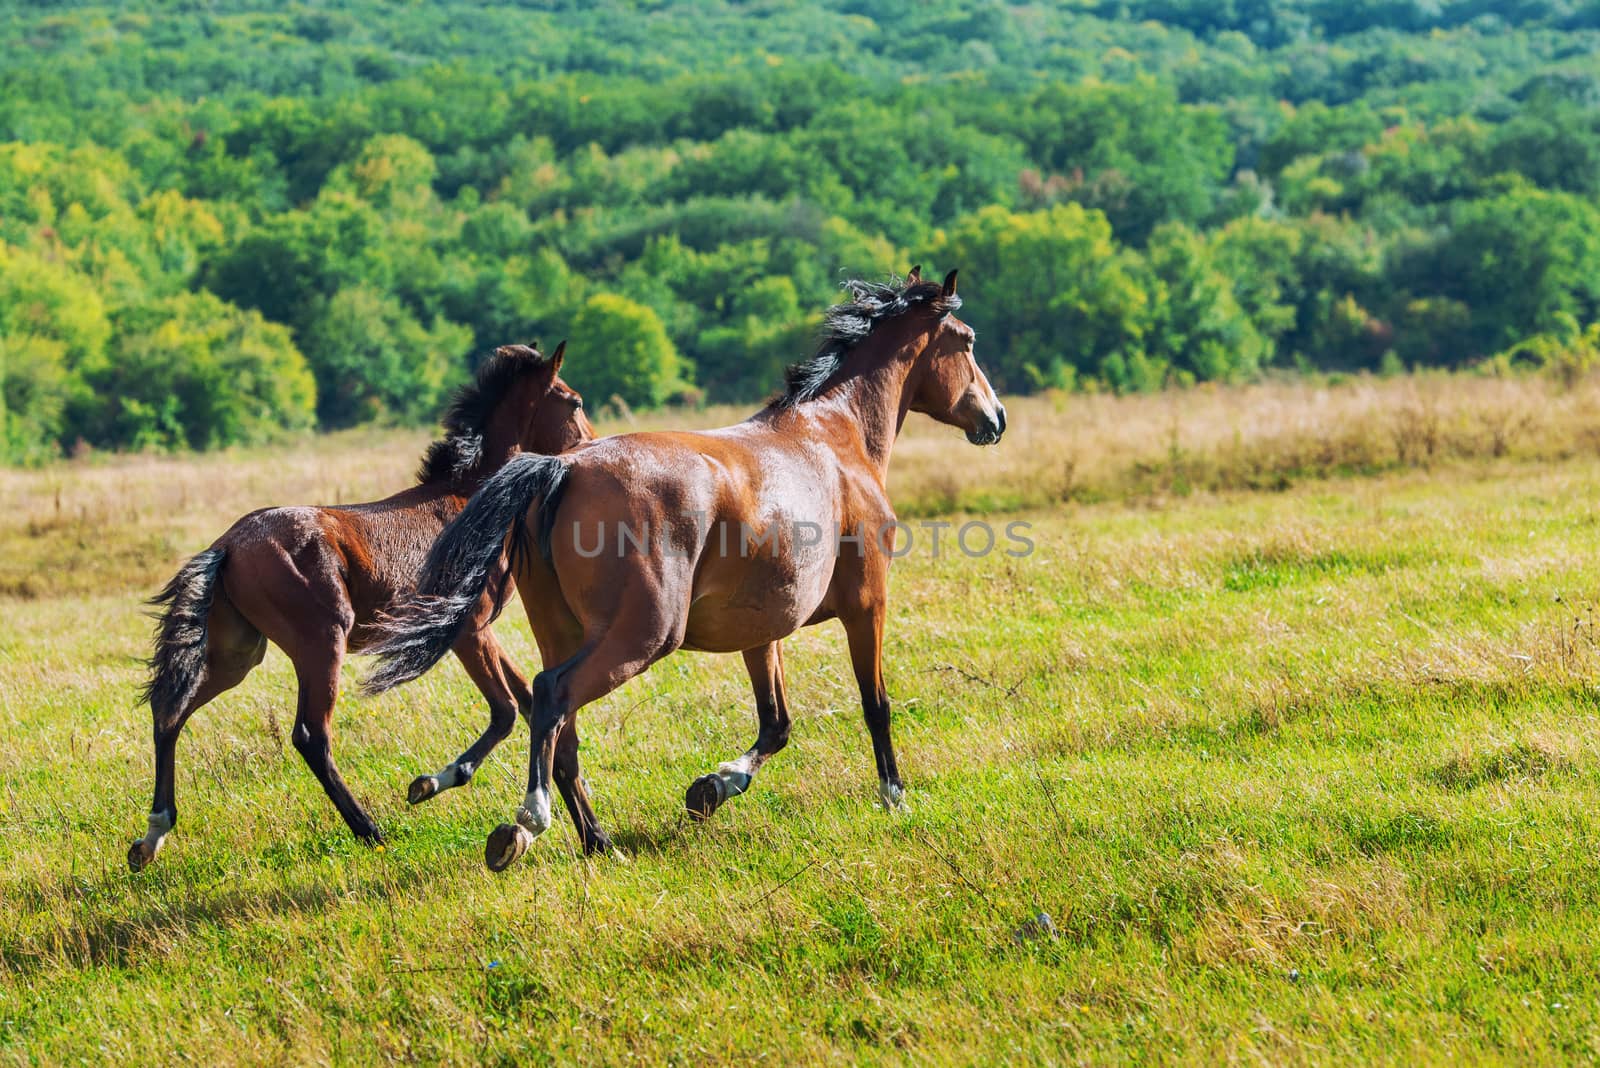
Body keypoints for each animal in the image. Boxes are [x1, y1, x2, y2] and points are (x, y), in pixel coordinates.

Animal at [128, 342, 595, 869]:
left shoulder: (478, 632)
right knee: (311, 735)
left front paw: (590, 833)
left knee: (171, 714)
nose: (589, 448)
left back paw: (151, 837)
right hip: (321, 641)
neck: (467, 497)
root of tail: (227, 544)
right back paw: (370, 830)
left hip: (237, 653)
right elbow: (507, 710)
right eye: (574, 402)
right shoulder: (469, 628)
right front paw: (429, 784)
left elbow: (534, 704)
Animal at [368, 267, 1004, 869]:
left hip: (566, 633)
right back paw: (527, 823)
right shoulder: (867, 605)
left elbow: (776, 724)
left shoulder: (762, 632)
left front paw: (713, 787)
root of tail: (561, 468)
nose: (995, 418)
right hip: (643, 636)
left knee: (555, 723)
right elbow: (876, 705)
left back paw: (596, 842)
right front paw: (895, 797)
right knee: (552, 696)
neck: (834, 436)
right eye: (967, 340)